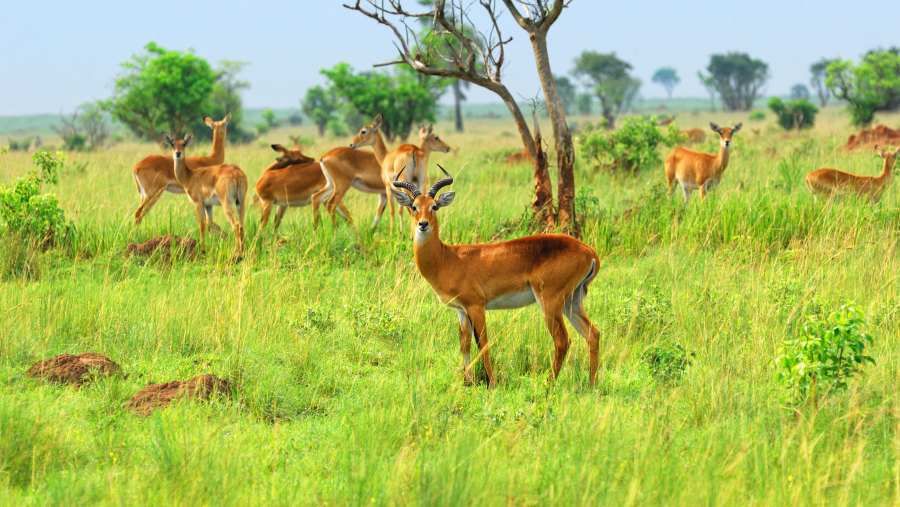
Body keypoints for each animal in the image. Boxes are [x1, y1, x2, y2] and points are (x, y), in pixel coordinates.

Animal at [390, 165, 600, 386]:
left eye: (434, 206)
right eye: (414, 206)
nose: (423, 224)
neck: (446, 258)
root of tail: (590, 252)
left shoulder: (476, 306)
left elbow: (483, 342)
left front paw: (491, 382)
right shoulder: (461, 311)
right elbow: (465, 344)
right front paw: (468, 381)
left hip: (550, 302)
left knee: (562, 340)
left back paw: (548, 384)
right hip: (572, 301)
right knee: (592, 334)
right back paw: (592, 384)